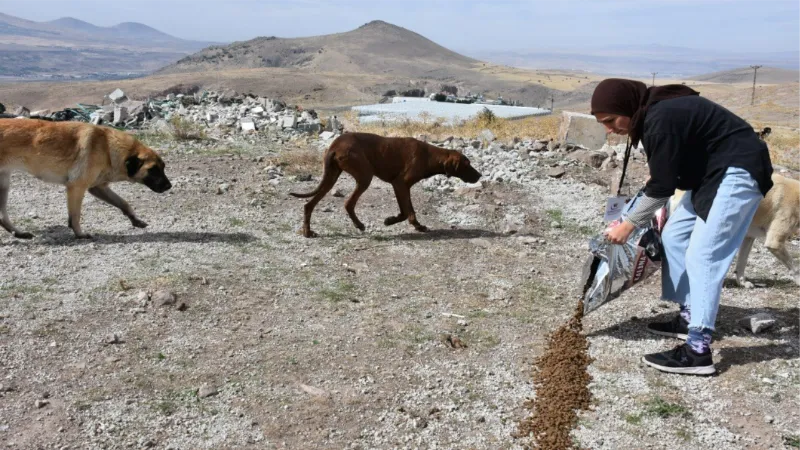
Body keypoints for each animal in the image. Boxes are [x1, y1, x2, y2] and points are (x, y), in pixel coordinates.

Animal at [0, 118, 172, 239]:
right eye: (153, 170)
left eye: (163, 168)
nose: (169, 186)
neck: (107, 147)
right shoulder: (77, 187)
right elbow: (75, 216)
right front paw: (80, 235)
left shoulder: (98, 188)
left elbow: (124, 203)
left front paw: (135, 220)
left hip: (4, 184)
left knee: (2, 217)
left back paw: (19, 233)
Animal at [292, 132, 484, 237]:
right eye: (467, 164)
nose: (480, 175)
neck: (430, 156)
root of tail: (335, 145)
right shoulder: (401, 183)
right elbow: (408, 212)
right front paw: (410, 224)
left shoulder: (399, 186)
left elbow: (406, 211)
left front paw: (395, 221)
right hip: (364, 176)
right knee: (348, 203)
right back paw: (359, 225)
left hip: (331, 176)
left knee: (309, 204)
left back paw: (308, 232)